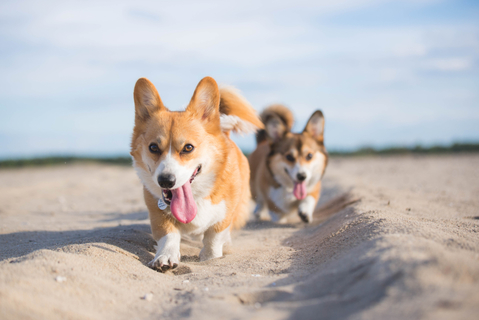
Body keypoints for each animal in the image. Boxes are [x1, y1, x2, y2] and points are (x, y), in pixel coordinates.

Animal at [130, 77, 262, 270]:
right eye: (153, 147)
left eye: (188, 148)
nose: (166, 181)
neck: (196, 196)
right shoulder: (157, 214)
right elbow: (168, 236)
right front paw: (165, 256)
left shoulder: (225, 214)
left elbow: (214, 238)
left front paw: (210, 258)